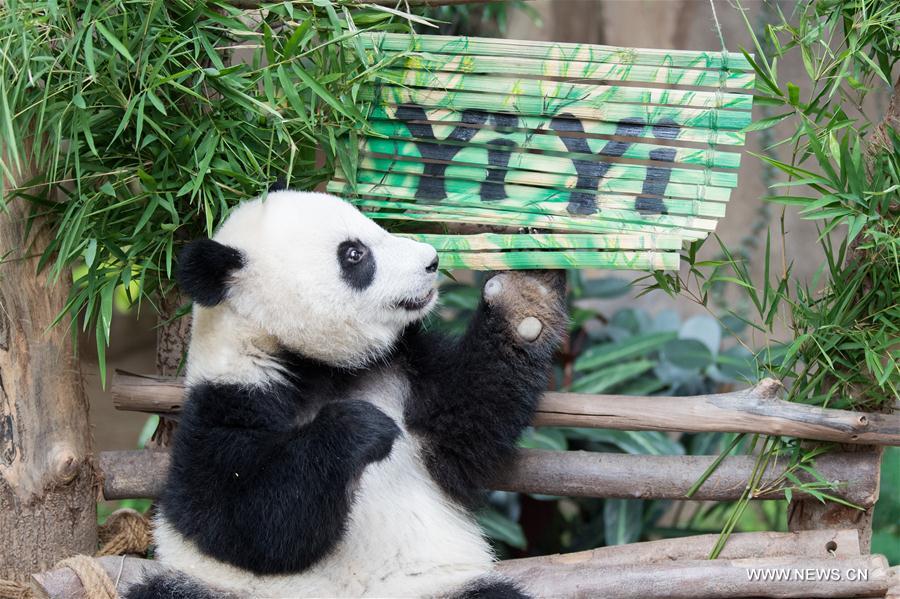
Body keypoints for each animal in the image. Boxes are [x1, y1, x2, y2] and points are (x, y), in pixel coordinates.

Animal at [126, 188, 567, 599]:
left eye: (375, 226)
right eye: (355, 254)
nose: (431, 260)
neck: (317, 367)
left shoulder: (406, 374)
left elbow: (471, 418)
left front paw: (524, 297)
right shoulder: (226, 405)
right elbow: (244, 522)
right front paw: (357, 427)